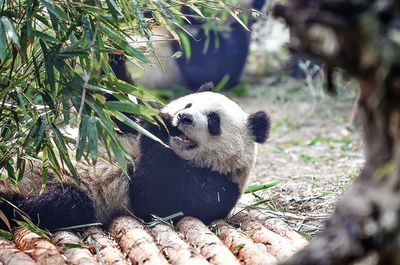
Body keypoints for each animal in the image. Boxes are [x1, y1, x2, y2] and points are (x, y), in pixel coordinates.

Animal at [0, 87, 270, 229]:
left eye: (214, 120)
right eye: (189, 104)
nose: (183, 118)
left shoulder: (218, 187)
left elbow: (156, 199)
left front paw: (159, 126)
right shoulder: (123, 129)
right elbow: (113, 106)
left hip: (76, 196)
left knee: (57, 204)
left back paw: (8, 203)